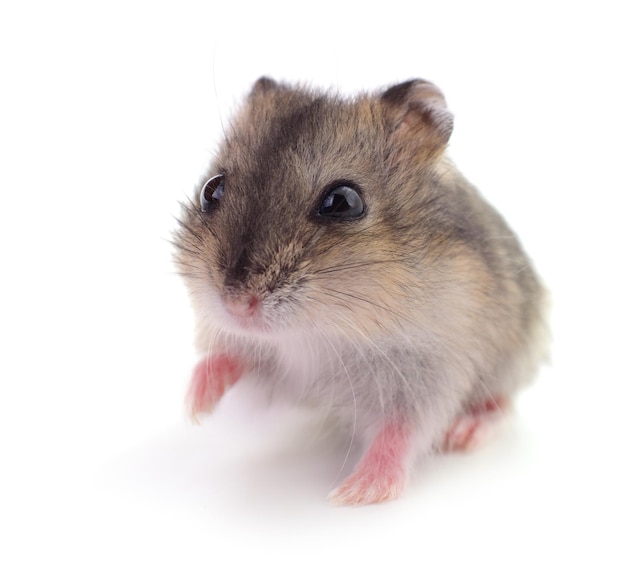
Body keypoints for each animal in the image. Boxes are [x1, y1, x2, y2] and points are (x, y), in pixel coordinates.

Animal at [171, 77, 544, 508]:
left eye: (343, 202)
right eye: (211, 190)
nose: (235, 304)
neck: (317, 333)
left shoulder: (427, 371)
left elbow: (401, 431)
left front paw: (356, 493)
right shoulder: (269, 364)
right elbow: (228, 357)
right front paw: (195, 407)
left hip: (516, 353)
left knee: (501, 401)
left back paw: (467, 432)